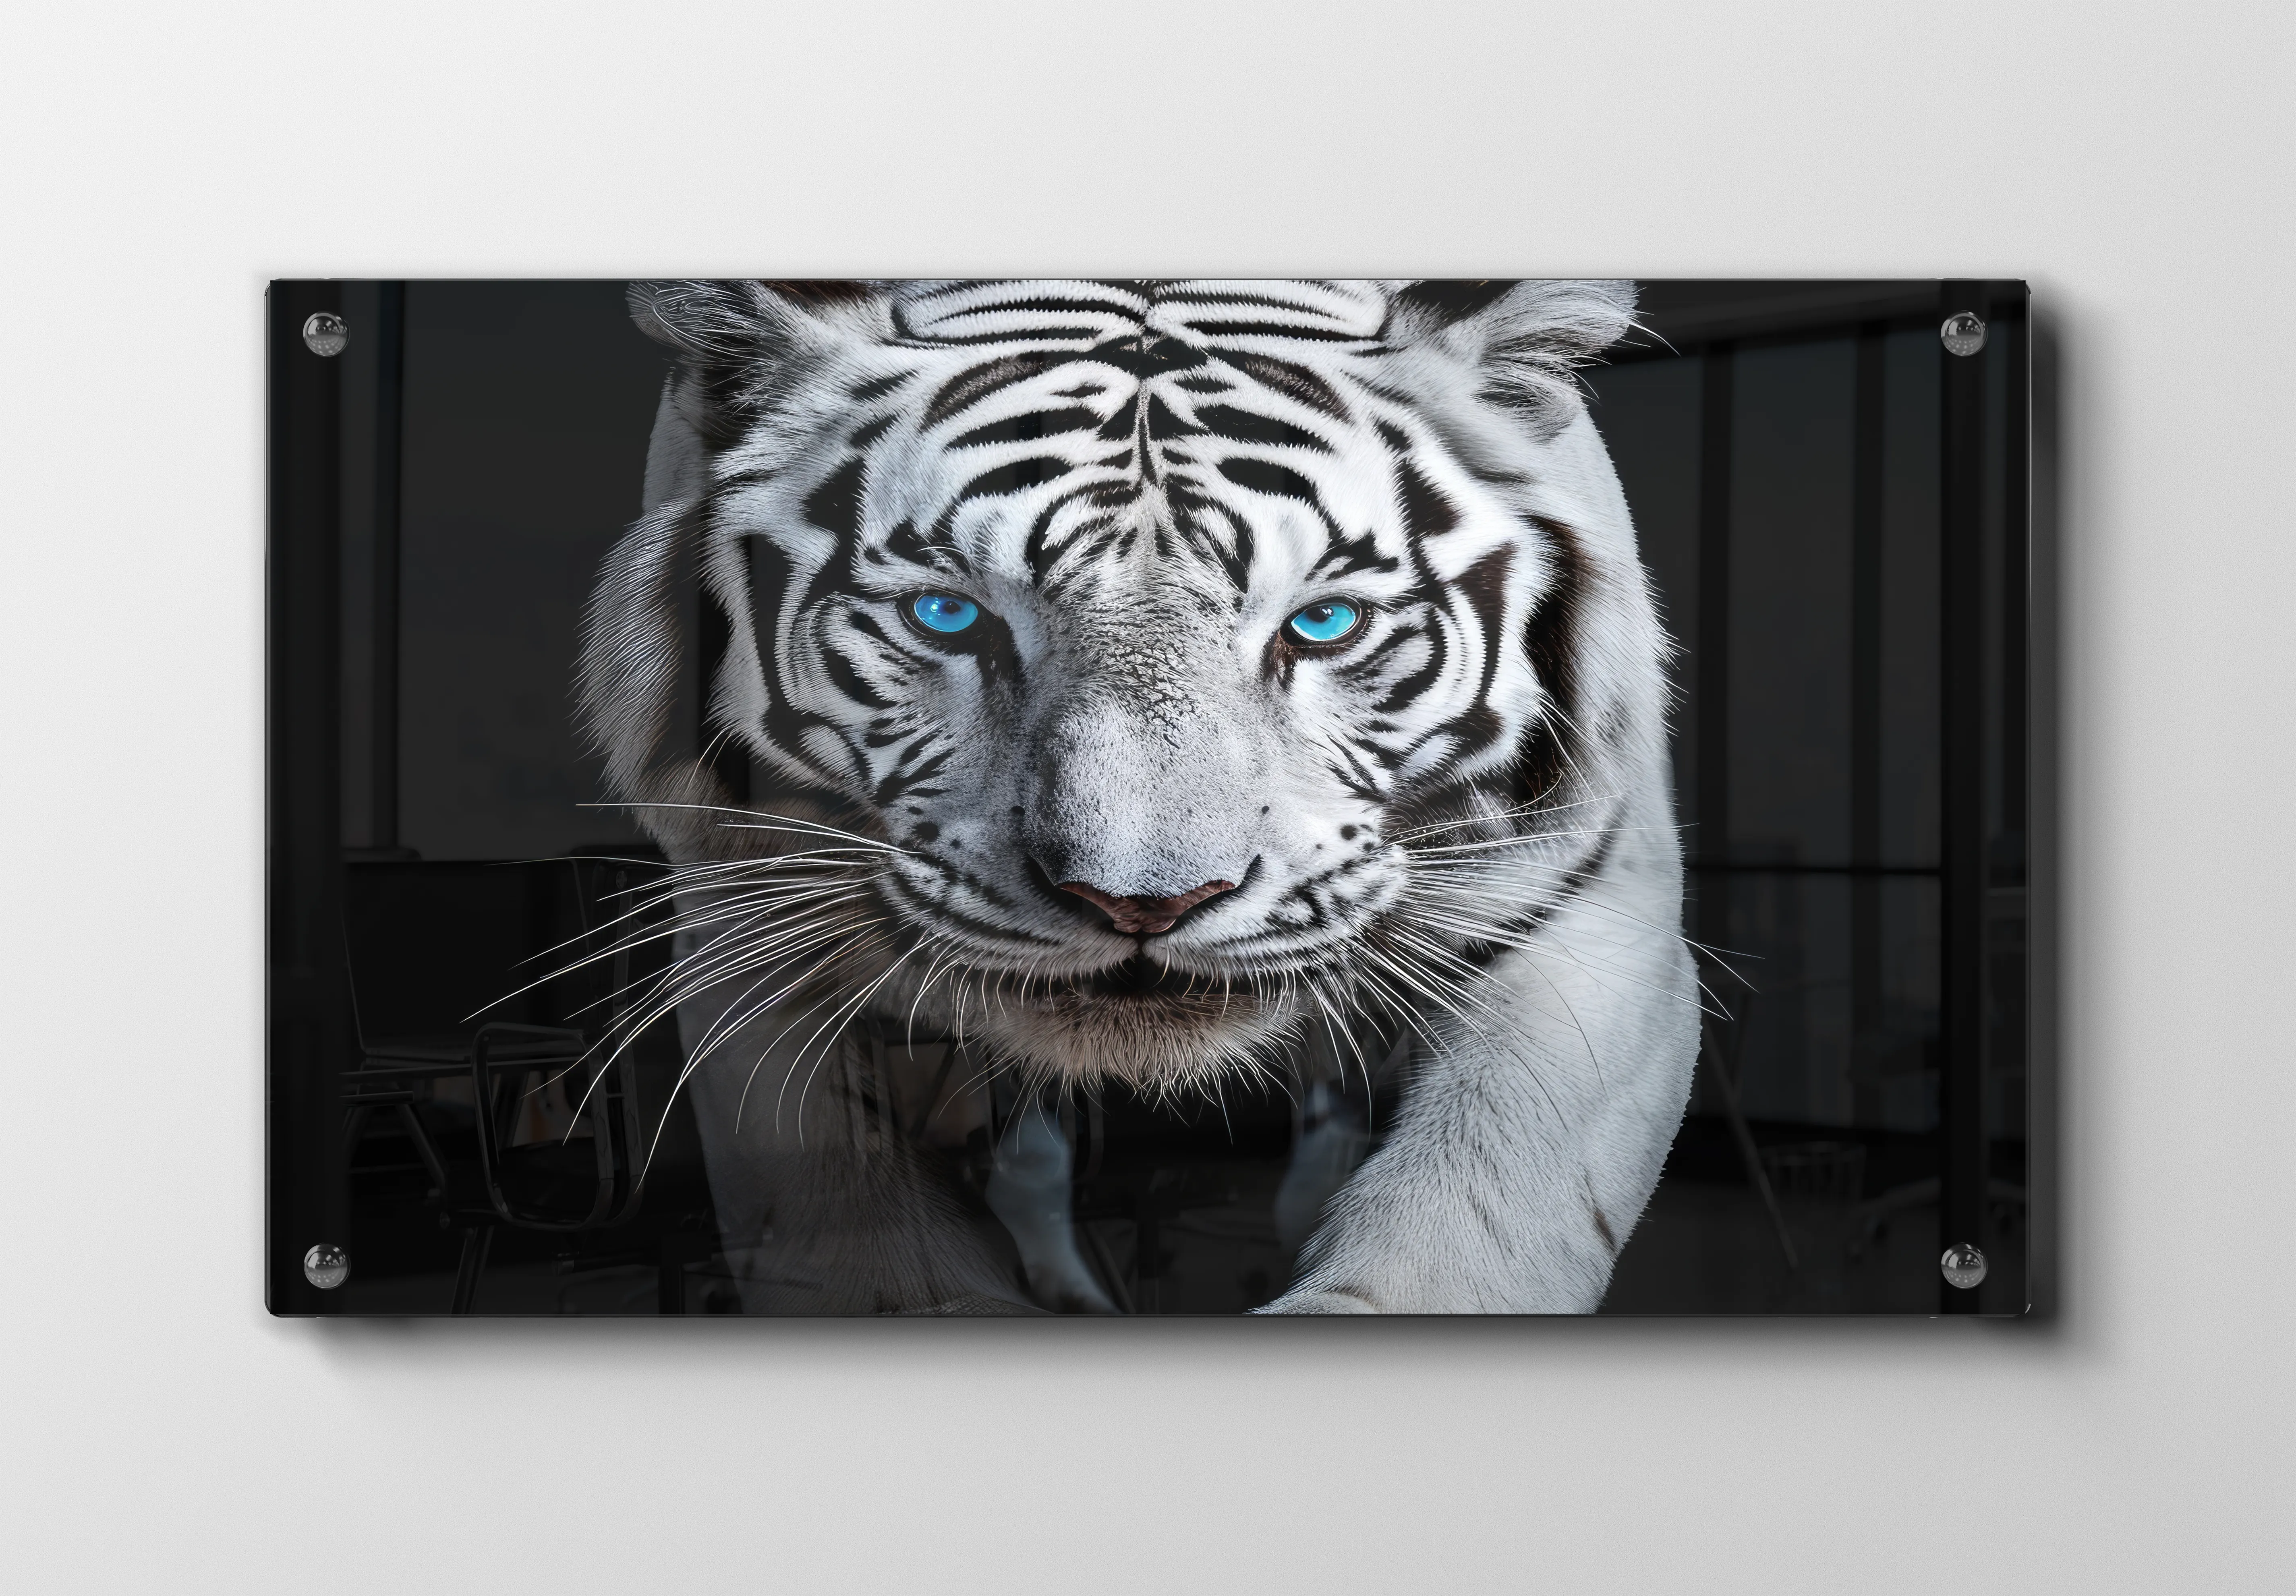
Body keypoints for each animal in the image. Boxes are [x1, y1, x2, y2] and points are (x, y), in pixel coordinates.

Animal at [578, 278, 1698, 1314]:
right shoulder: (746, 943)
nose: (1144, 905)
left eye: (1323, 623)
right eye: (948, 616)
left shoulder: (1596, 914)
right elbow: (856, 1239)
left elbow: (1476, 1211)